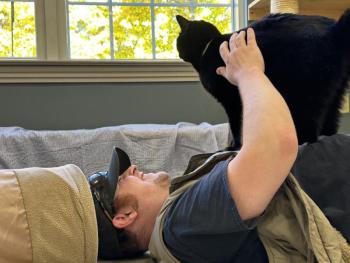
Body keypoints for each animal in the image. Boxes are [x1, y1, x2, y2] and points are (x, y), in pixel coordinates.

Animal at [176, 11, 350, 150]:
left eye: (178, 39)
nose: (177, 51)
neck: (207, 47)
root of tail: (336, 29)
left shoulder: (233, 101)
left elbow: (235, 126)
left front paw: (234, 146)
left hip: (305, 92)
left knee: (310, 127)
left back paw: (301, 142)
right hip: (336, 92)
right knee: (331, 120)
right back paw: (327, 135)